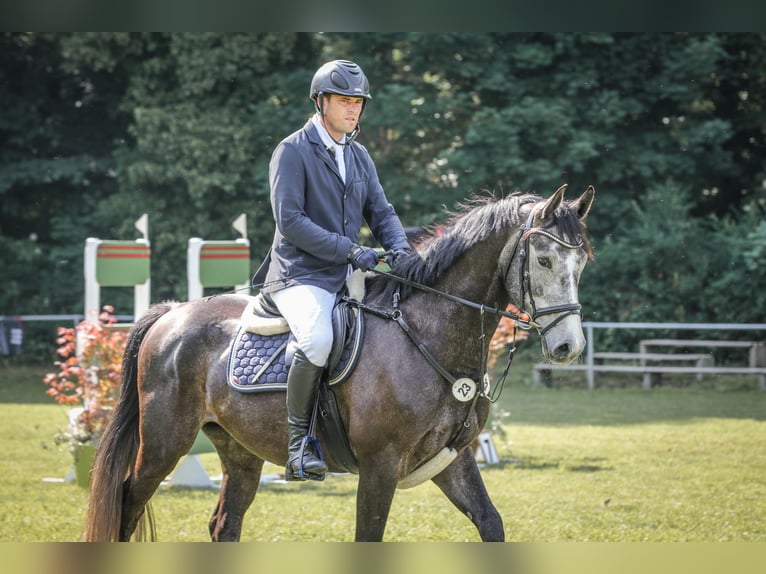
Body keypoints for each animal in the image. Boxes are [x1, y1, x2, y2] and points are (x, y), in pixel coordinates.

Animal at [84, 186, 596, 544]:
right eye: (544, 259)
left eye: (581, 265)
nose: (568, 347)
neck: (426, 335)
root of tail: (171, 313)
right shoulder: (379, 466)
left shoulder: (454, 459)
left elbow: (491, 524)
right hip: (164, 443)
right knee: (127, 506)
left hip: (239, 451)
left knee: (224, 523)